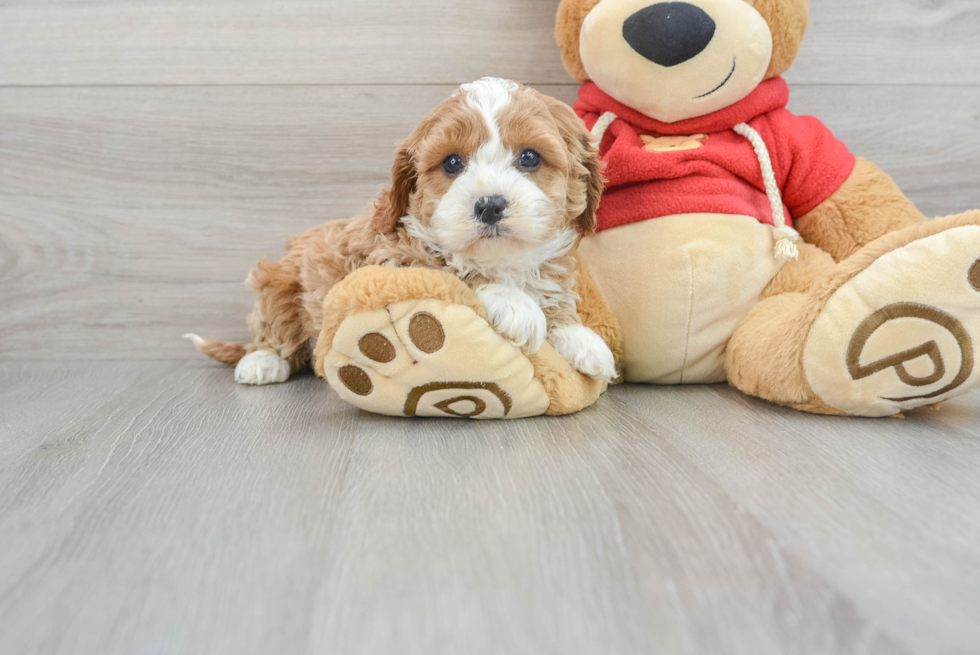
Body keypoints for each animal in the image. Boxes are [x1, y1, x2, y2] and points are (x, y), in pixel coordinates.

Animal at [188, 77, 616, 384]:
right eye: (452, 163)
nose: (490, 205)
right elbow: (453, 273)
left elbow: (554, 296)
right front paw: (516, 305)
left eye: (529, 157)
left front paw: (580, 338)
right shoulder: (389, 262)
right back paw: (261, 363)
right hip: (279, 285)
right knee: (271, 331)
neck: (501, 260)